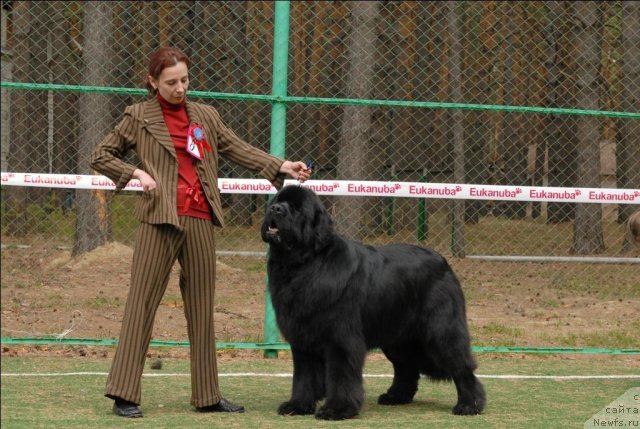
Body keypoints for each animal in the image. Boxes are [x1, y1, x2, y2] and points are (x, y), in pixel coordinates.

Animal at [260, 185, 484, 418]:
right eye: (276, 201)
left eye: (297, 209)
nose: (275, 209)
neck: (303, 265)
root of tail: (444, 262)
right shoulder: (302, 338)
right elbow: (304, 376)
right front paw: (298, 405)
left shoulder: (341, 338)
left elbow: (340, 375)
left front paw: (337, 409)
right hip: (398, 337)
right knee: (406, 367)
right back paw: (396, 397)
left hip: (441, 330)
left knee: (461, 366)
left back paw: (470, 404)